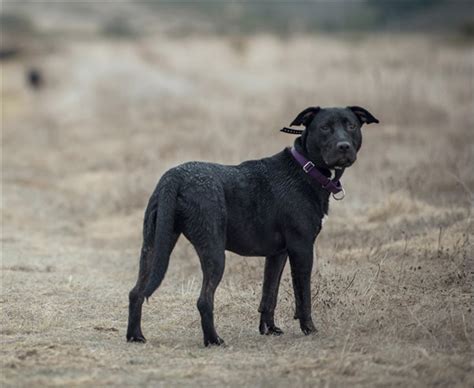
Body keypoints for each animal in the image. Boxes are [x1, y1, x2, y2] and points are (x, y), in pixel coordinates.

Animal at [126, 104, 378, 344]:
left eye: (351, 126)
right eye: (325, 128)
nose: (344, 146)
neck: (305, 168)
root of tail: (174, 178)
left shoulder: (278, 254)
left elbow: (269, 294)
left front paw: (269, 329)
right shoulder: (302, 248)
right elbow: (303, 296)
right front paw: (309, 329)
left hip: (154, 246)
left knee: (136, 292)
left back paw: (135, 336)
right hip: (213, 252)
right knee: (204, 300)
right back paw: (213, 340)